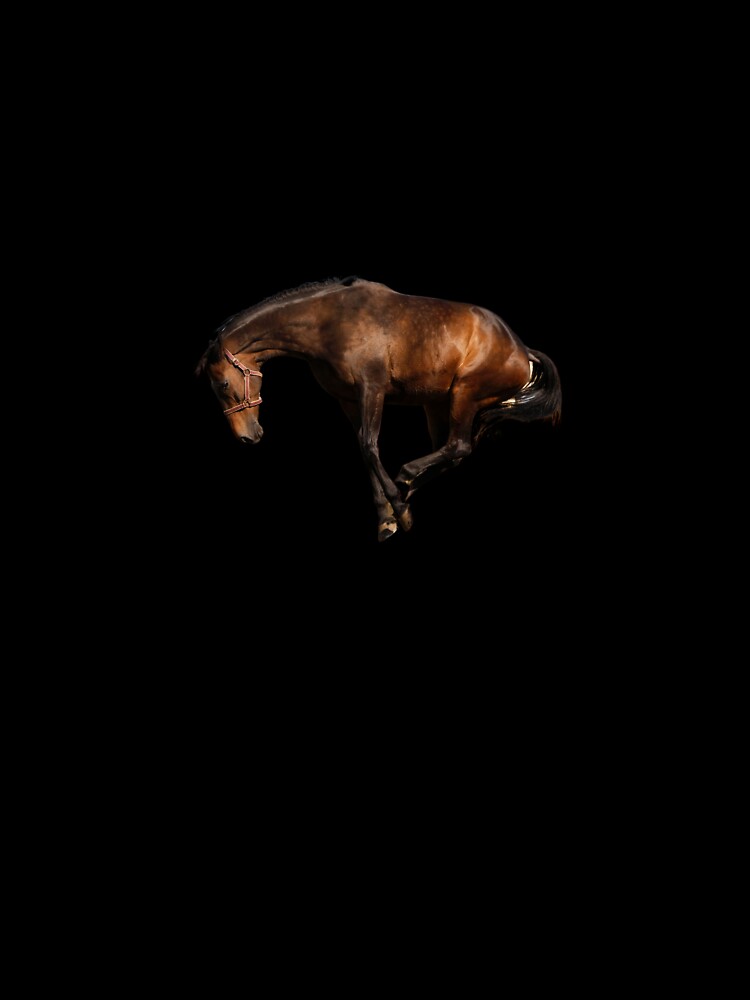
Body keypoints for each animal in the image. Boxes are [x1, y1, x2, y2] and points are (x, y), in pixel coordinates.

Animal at [195, 276, 562, 542]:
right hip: (437, 403)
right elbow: (362, 448)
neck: (330, 322)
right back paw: (407, 489)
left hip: (465, 394)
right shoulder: (348, 399)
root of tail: (522, 350)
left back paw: (406, 480)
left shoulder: (372, 390)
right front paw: (388, 517)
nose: (247, 437)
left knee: (458, 446)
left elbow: (370, 445)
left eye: (223, 385)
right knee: (451, 451)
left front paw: (397, 509)